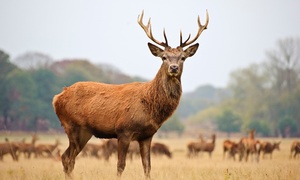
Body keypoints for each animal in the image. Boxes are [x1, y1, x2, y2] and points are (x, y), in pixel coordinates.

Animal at [52, 10, 209, 180]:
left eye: (183, 58)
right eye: (164, 57)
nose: (173, 68)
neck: (150, 106)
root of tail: (57, 98)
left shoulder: (147, 136)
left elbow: (147, 166)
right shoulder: (123, 131)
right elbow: (120, 165)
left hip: (84, 132)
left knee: (67, 158)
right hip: (73, 126)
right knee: (67, 158)